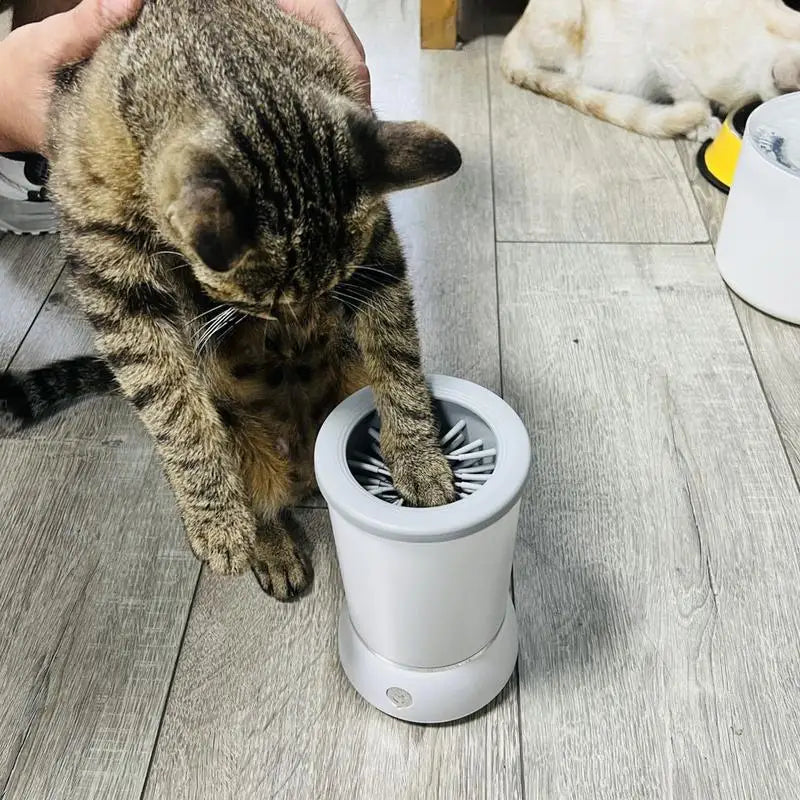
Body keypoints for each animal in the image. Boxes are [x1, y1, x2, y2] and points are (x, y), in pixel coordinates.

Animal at [0, 0, 462, 600]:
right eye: (266, 305)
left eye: (330, 292)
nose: (302, 324)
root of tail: (303, 464)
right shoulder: (111, 276)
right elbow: (170, 404)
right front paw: (215, 517)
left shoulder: (376, 257)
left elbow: (397, 355)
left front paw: (417, 457)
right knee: (253, 493)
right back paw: (263, 543)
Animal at [504, 0, 800, 138]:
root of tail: (510, 36)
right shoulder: (662, 47)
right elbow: (692, 96)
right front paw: (701, 123)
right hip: (566, 20)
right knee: (572, 76)